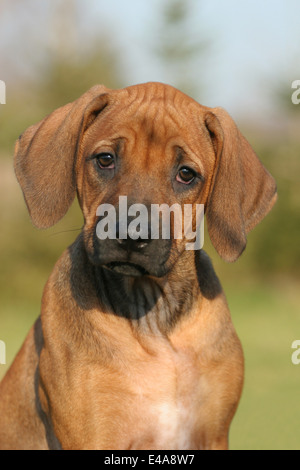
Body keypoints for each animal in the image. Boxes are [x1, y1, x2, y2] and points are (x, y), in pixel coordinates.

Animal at [0, 82, 276, 450]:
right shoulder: (94, 437)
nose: (131, 234)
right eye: (105, 159)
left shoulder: (212, 434)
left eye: (186, 174)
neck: (154, 320)